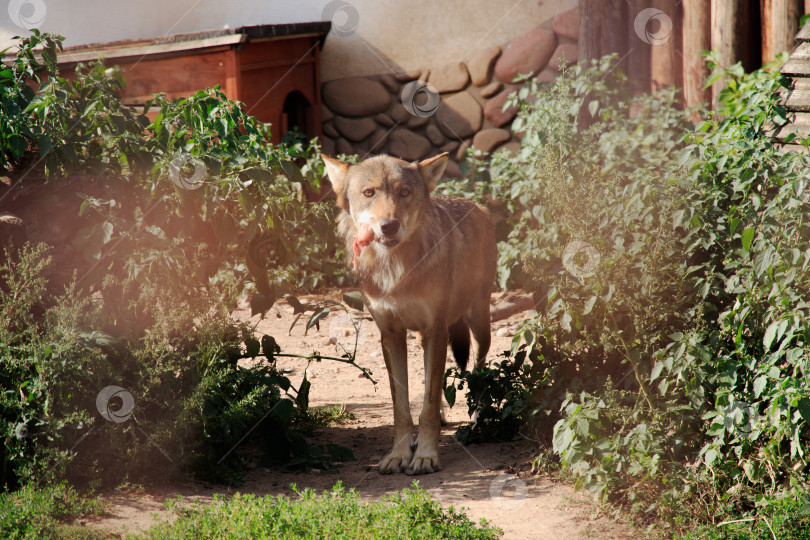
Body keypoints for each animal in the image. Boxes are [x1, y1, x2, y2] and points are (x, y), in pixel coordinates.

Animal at [318, 151, 496, 472]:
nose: (389, 225)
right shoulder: (392, 335)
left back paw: (478, 419)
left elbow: (426, 407)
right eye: (369, 193)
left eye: (404, 192)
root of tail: (477, 206)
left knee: (479, 369)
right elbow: (403, 407)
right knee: (433, 384)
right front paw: (398, 455)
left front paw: (425, 455)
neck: (394, 270)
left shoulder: (436, 329)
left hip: (478, 323)